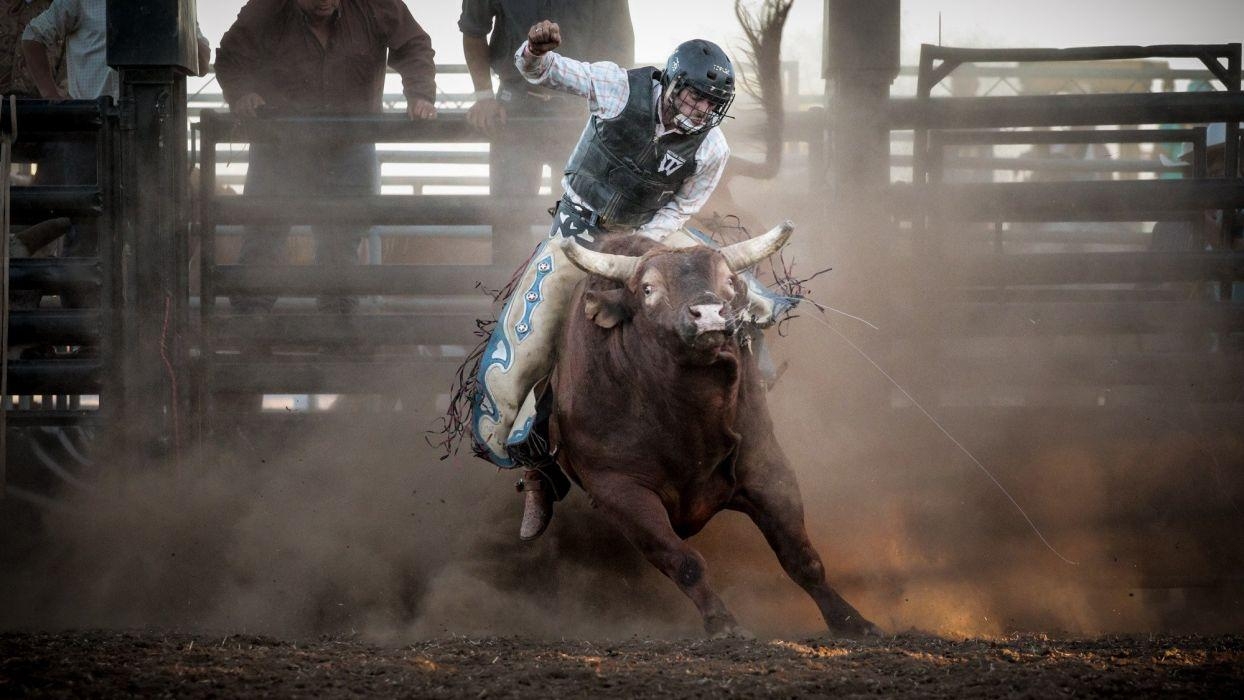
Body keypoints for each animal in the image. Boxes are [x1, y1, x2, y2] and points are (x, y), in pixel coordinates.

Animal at [549, 226, 880, 641]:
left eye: (729, 281)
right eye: (647, 288)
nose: (708, 314)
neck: (688, 420)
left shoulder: (765, 466)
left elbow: (801, 557)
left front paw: (851, 620)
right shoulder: (616, 488)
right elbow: (684, 560)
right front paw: (723, 623)